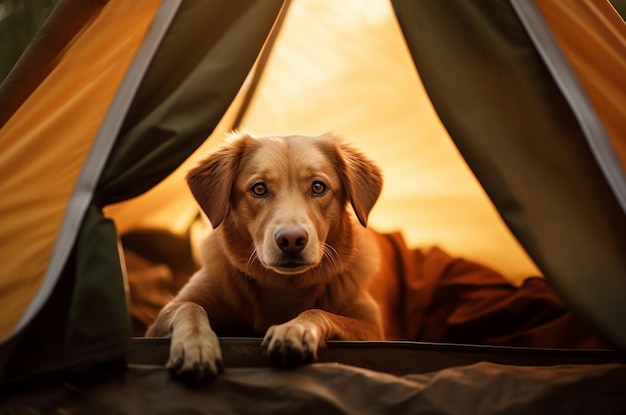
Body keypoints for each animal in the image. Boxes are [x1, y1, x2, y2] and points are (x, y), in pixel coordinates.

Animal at [148, 132, 388, 382]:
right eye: (259, 189)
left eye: (318, 187)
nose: (291, 239)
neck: (284, 286)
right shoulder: (162, 319)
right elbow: (190, 308)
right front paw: (196, 346)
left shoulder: (373, 330)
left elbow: (320, 312)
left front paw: (295, 329)